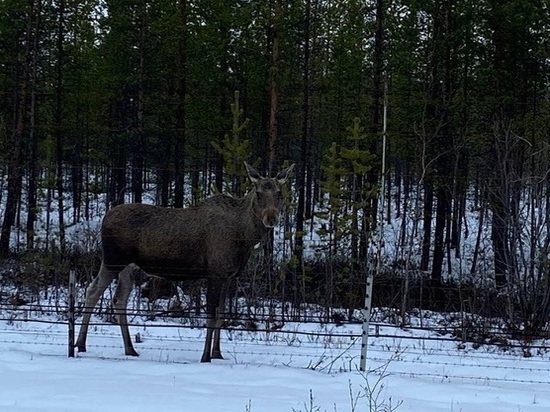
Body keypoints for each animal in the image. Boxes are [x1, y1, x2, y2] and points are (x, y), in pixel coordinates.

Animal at [76, 163, 298, 362]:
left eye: (279, 193)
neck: (245, 238)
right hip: (113, 260)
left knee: (119, 300)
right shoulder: (214, 273)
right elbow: (210, 316)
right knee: (93, 291)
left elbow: (221, 315)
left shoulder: (229, 276)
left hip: (128, 267)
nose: (271, 218)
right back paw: (80, 344)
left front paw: (218, 353)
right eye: (258, 193)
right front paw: (205, 356)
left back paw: (130, 349)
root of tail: (104, 218)